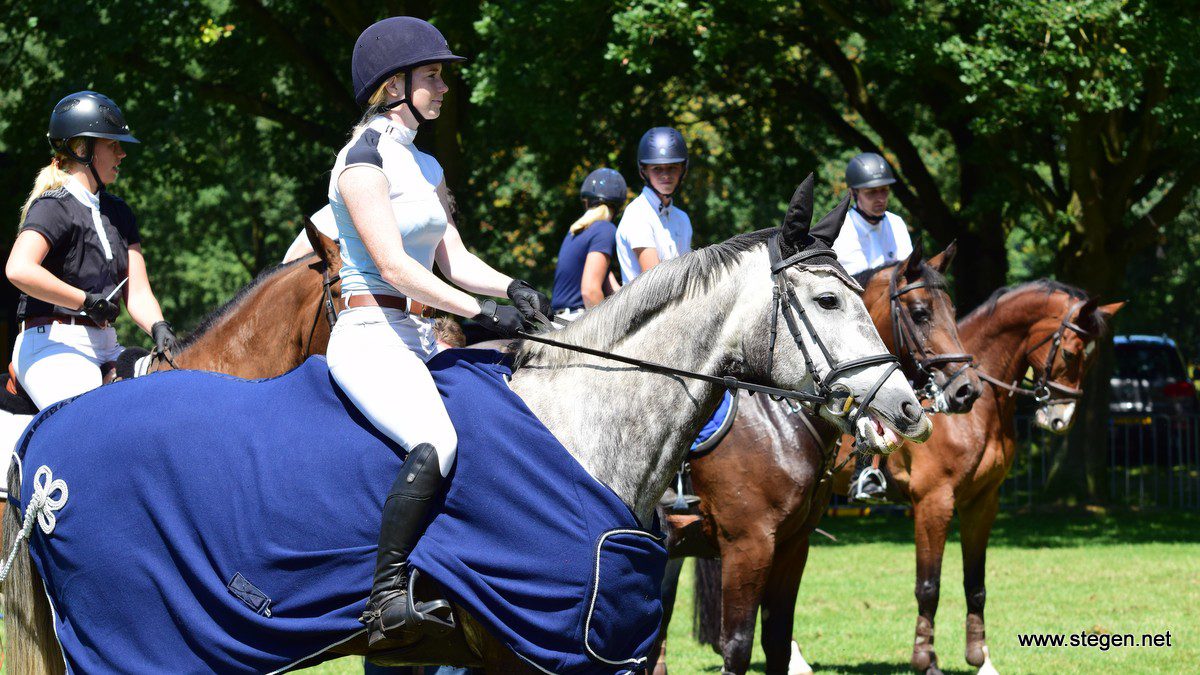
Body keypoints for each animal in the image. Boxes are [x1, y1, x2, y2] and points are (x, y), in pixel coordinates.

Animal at [657, 241, 984, 672]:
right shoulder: (748, 545)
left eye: (951, 308)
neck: (777, 423)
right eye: (920, 313)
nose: (966, 390)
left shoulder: (793, 544)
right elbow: (738, 645)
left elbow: (776, 639)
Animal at [816, 282, 1123, 672]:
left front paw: (981, 659)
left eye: (1093, 359)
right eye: (1070, 353)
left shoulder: (983, 502)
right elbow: (928, 585)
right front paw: (925, 659)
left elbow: (975, 584)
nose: (1060, 419)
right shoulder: (934, 502)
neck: (974, 413)